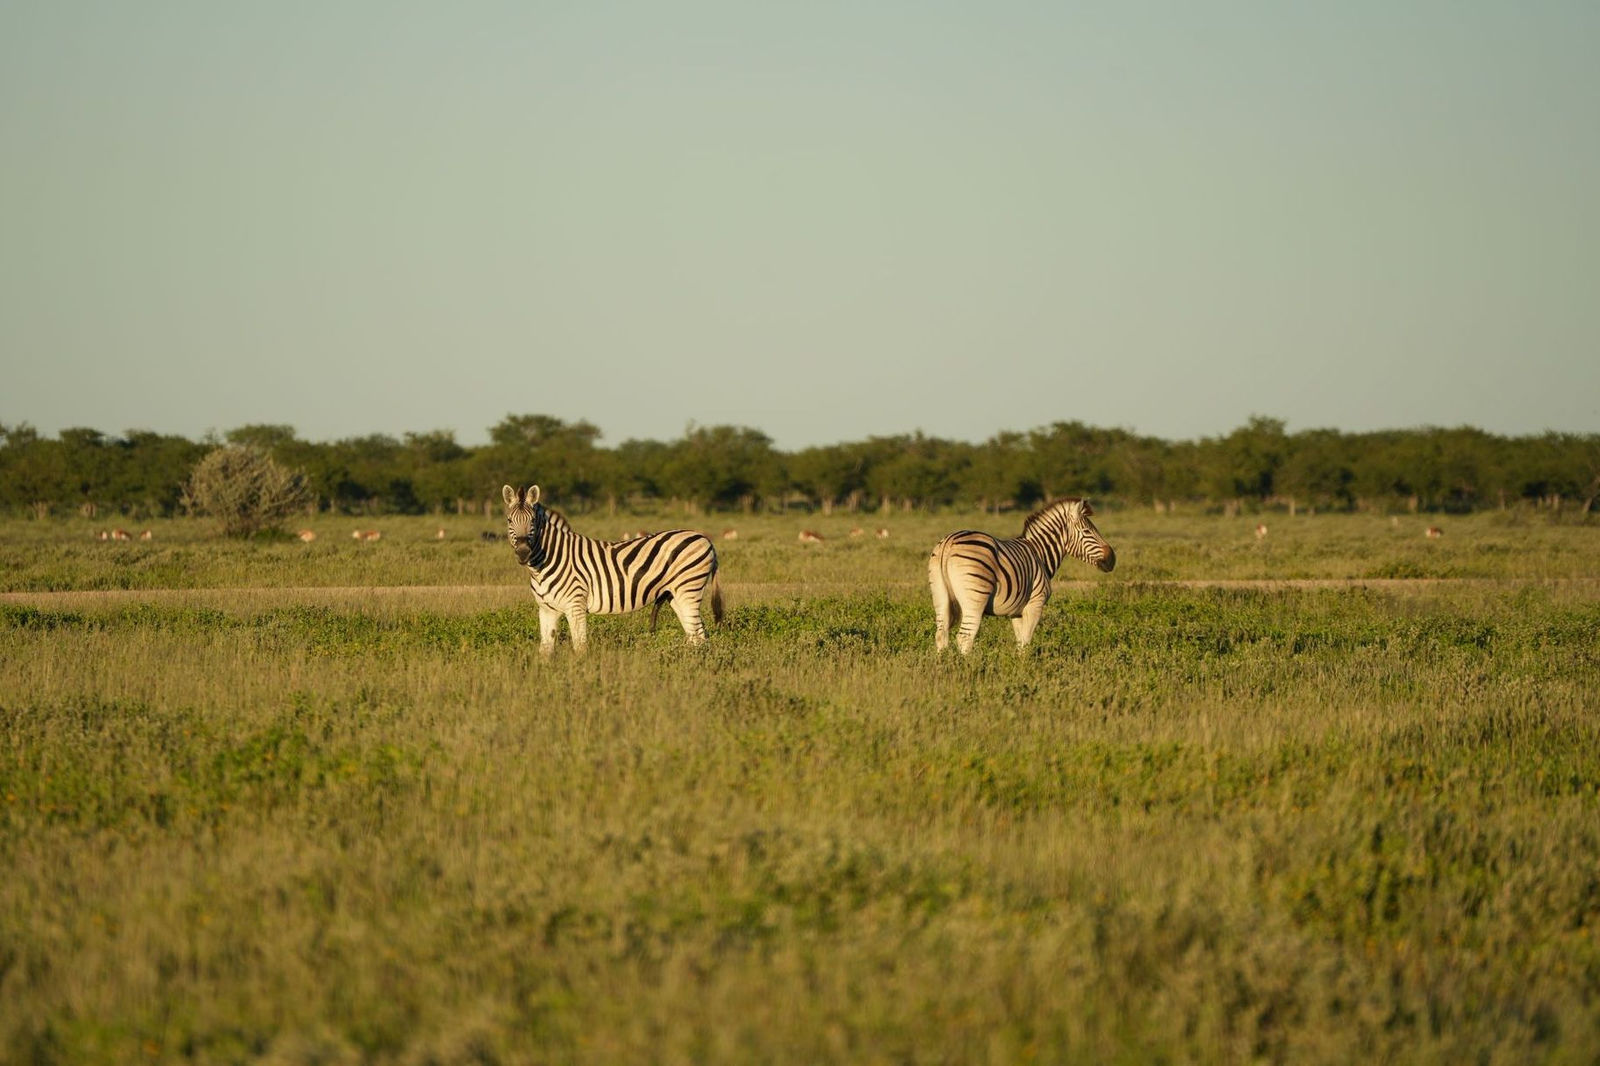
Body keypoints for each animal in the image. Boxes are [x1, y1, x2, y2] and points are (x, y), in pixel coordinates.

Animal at [502, 484, 724, 652]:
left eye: (532, 521)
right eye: (509, 520)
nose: (523, 552)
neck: (548, 561)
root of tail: (705, 539)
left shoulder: (575, 605)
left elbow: (580, 647)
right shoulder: (547, 609)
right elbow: (545, 650)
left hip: (689, 589)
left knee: (699, 635)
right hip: (676, 594)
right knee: (696, 634)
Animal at [928, 497, 1115, 654]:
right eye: (1087, 531)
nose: (1112, 559)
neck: (1040, 553)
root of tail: (948, 543)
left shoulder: (1016, 611)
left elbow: (1019, 642)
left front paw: (1017, 665)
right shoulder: (1035, 604)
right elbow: (1026, 641)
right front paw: (1025, 669)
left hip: (939, 594)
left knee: (941, 634)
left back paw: (945, 667)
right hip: (975, 597)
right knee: (965, 637)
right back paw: (968, 668)